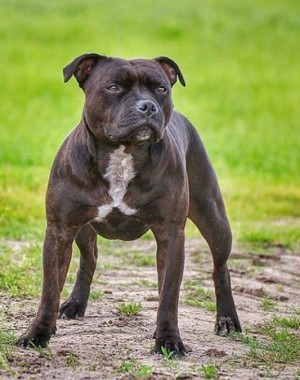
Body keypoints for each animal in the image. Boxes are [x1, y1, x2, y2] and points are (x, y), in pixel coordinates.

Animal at [17, 52, 241, 354]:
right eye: (113, 87)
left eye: (161, 88)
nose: (148, 106)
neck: (123, 154)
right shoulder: (60, 230)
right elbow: (50, 290)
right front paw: (37, 333)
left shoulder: (171, 233)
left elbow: (169, 293)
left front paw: (168, 340)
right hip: (83, 230)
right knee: (89, 259)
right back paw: (75, 304)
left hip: (213, 218)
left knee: (220, 267)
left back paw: (227, 319)